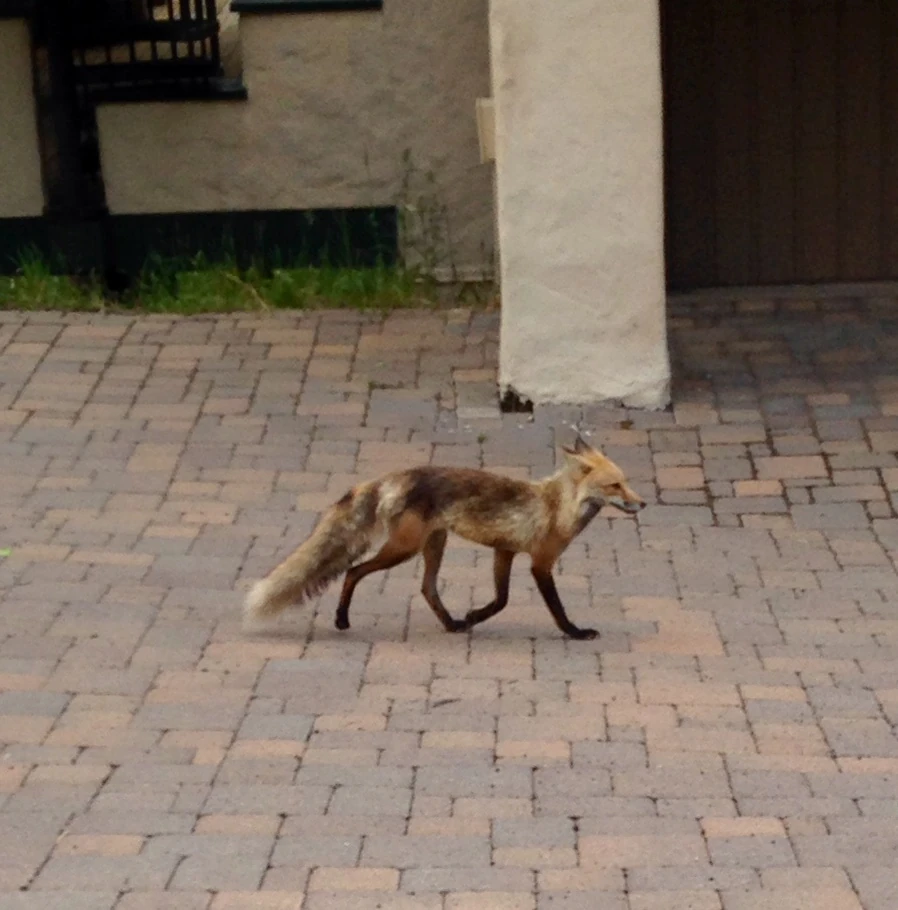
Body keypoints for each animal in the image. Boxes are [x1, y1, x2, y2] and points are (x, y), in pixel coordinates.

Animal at [243, 435, 645, 640]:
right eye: (615, 485)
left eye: (628, 482)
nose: (642, 503)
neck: (557, 507)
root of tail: (389, 477)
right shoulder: (540, 563)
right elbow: (556, 608)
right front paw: (575, 632)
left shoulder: (504, 551)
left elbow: (501, 600)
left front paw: (473, 616)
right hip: (403, 548)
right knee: (354, 571)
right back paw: (342, 619)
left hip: (434, 544)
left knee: (426, 588)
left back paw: (451, 624)